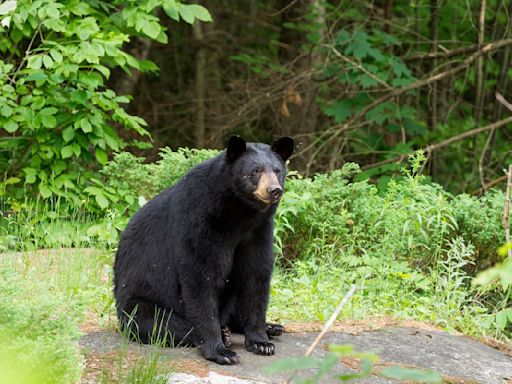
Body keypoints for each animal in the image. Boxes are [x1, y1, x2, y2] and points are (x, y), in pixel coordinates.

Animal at [114, 136, 294, 364]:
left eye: (277, 171)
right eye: (255, 171)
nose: (274, 190)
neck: (240, 213)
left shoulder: (258, 231)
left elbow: (255, 275)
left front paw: (261, 342)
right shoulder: (200, 221)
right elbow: (201, 277)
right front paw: (221, 352)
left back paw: (272, 327)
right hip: (138, 300)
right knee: (158, 323)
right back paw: (223, 334)